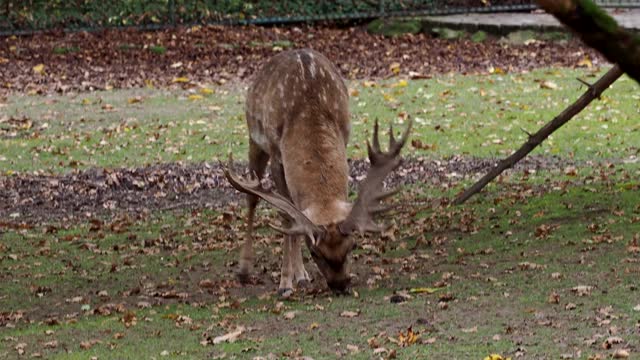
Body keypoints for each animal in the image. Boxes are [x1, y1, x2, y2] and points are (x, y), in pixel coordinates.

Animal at [222, 48, 412, 296]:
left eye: (353, 246)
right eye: (315, 252)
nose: (340, 285)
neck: (309, 107)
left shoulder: (344, 135)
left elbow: (295, 214)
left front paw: (299, 276)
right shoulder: (276, 153)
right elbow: (287, 217)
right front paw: (285, 283)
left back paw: (301, 275)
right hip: (254, 139)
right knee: (252, 197)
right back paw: (246, 269)